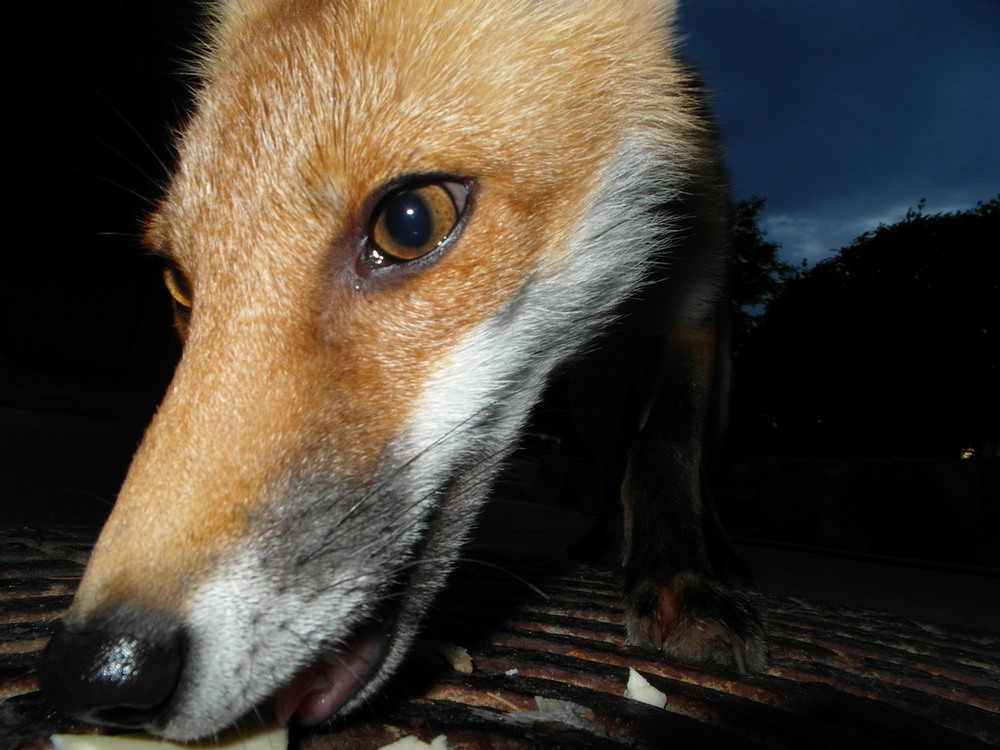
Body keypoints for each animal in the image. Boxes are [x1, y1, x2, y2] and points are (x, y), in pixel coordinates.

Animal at [37, 0, 764, 744]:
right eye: (180, 284)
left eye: (410, 223)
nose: (97, 668)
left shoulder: (696, 299)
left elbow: (667, 448)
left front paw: (682, 579)